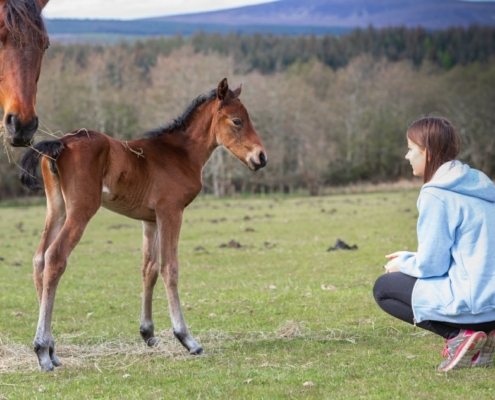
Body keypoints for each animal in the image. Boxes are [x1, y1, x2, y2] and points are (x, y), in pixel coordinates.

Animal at [19, 77, 270, 372]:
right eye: (237, 121)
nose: (261, 157)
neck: (180, 153)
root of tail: (60, 142)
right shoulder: (171, 211)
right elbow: (170, 268)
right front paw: (187, 339)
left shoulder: (150, 220)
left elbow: (148, 269)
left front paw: (148, 333)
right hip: (81, 210)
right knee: (55, 257)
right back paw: (42, 351)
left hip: (56, 209)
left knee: (39, 258)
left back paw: (53, 350)